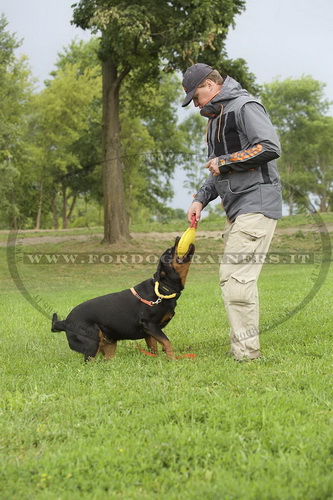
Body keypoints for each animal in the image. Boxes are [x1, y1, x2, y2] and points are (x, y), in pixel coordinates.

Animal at [50, 238, 193, 360]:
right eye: (169, 251)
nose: (177, 237)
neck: (163, 289)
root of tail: (65, 322)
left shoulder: (150, 332)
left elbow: (155, 349)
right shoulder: (150, 324)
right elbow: (167, 342)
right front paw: (173, 359)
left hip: (109, 344)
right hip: (92, 343)